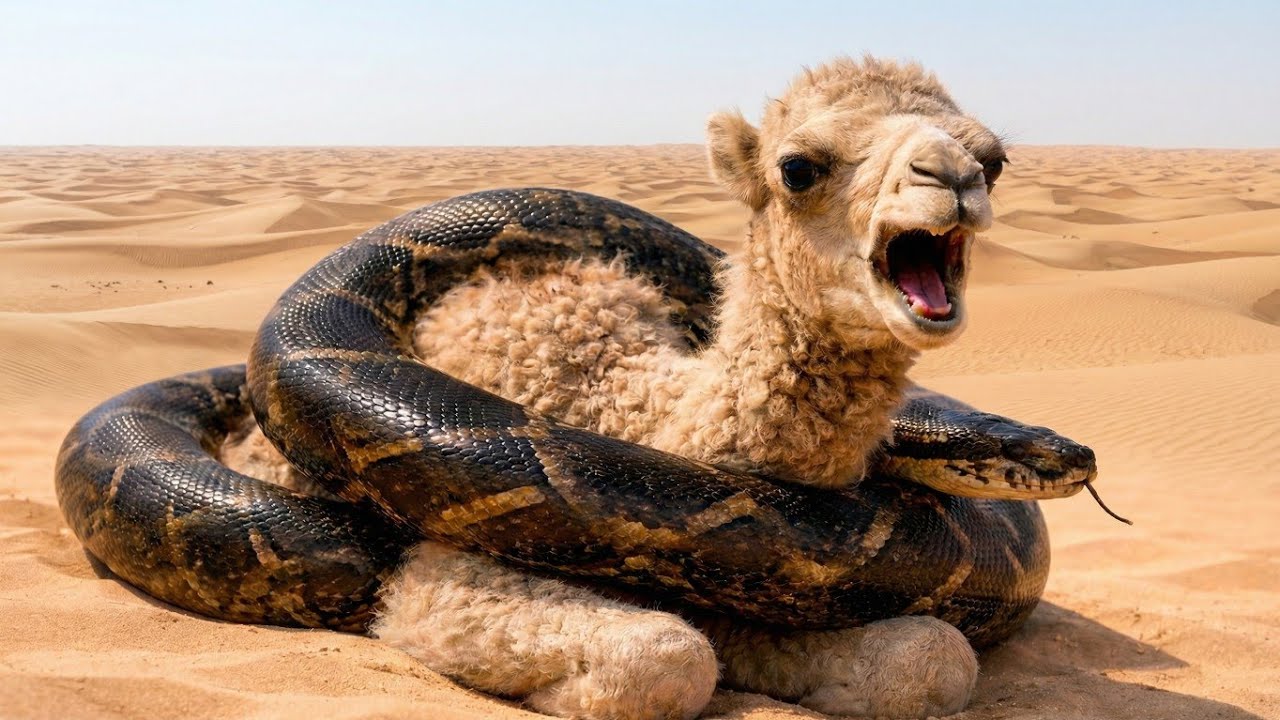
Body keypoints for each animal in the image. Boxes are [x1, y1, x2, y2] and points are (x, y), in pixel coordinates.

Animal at [230, 55, 1008, 719]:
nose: (953, 176)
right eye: (797, 168)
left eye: (995, 161)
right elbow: (664, 657)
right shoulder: (442, 574)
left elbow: (934, 656)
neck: (637, 401)